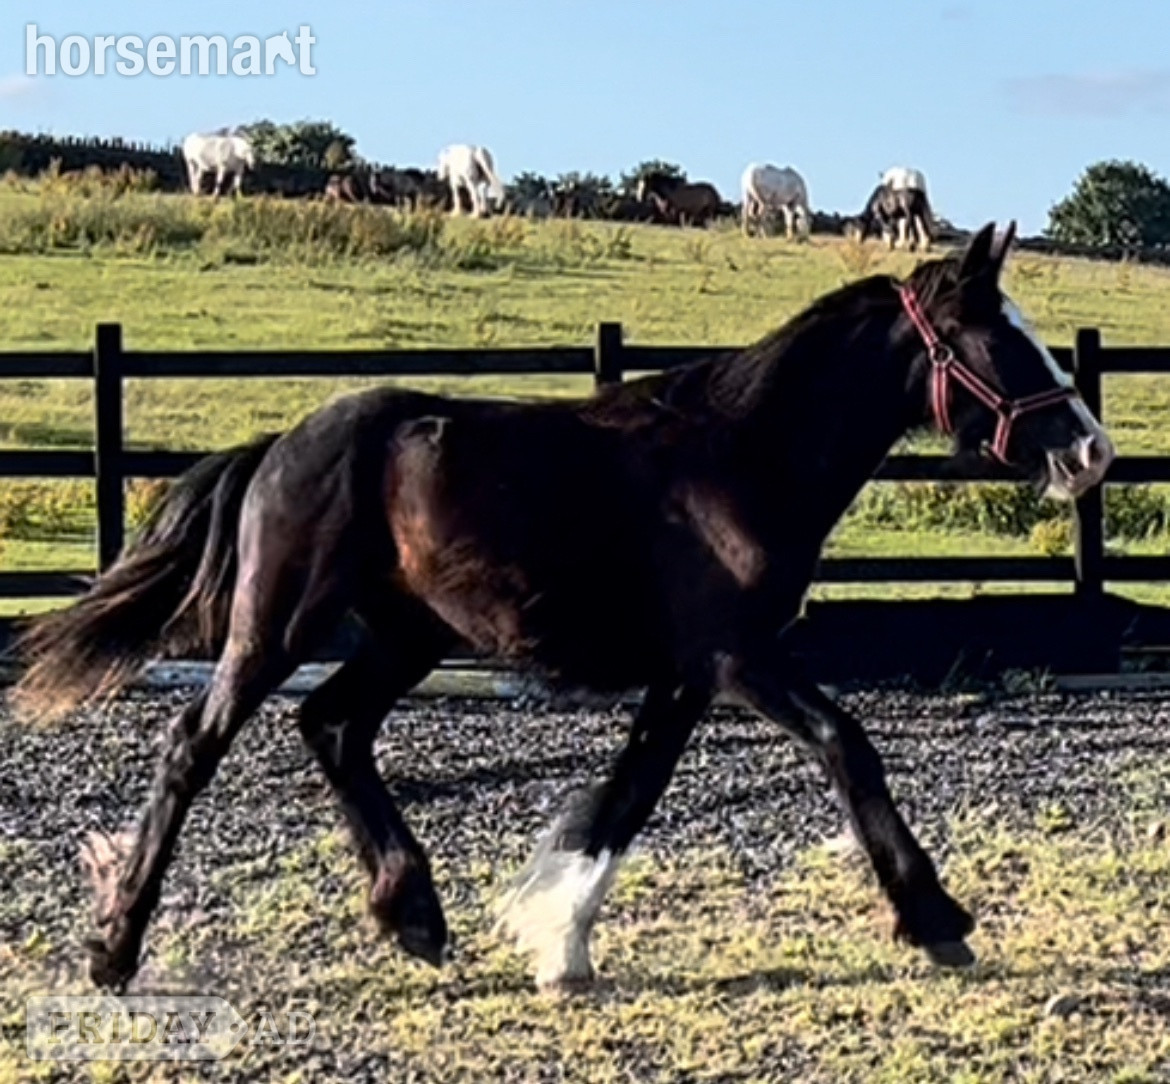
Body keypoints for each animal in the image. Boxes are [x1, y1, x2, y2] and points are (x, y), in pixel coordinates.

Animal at [12, 223, 1114, 995]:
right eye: (995, 340)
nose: (1090, 451)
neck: (740, 456)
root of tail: (282, 442)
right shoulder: (736, 657)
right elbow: (847, 745)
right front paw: (936, 918)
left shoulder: (688, 673)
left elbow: (628, 797)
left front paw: (559, 945)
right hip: (275, 629)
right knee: (194, 745)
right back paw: (115, 951)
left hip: (406, 638)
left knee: (331, 727)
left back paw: (414, 918)